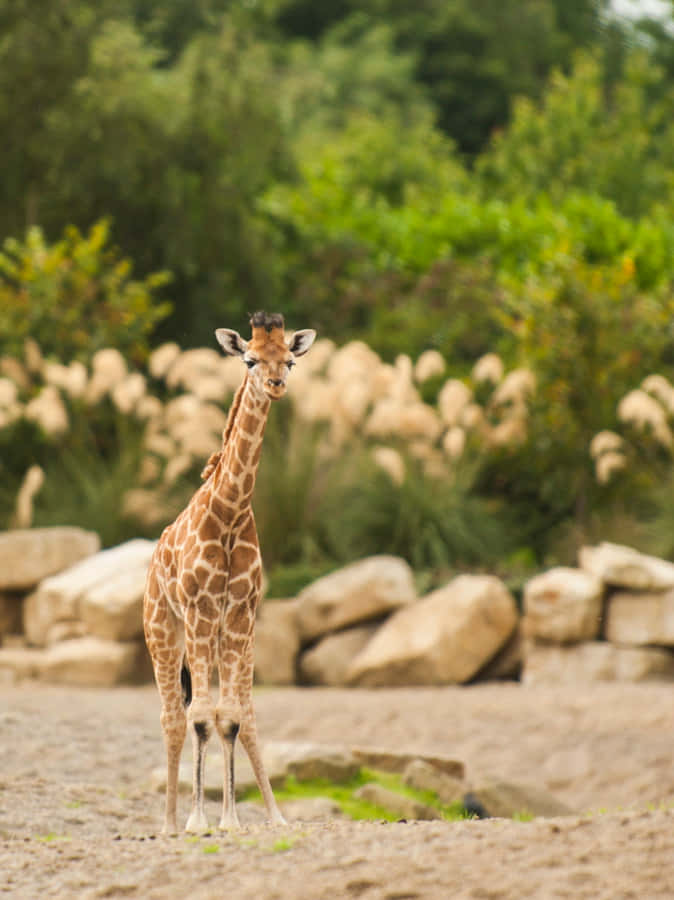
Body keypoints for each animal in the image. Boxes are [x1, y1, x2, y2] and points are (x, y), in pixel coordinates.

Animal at [143, 311, 316, 833]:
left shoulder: (239, 614)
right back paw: (169, 823)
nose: (276, 384)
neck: (231, 511)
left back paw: (273, 816)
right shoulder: (200, 612)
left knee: (243, 713)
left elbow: (232, 717)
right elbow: (201, 715)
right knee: (172, 716)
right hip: (164, 632)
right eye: (250, 359)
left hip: (226, 639)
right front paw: (200, 820)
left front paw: (234, 820)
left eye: (290, 360)